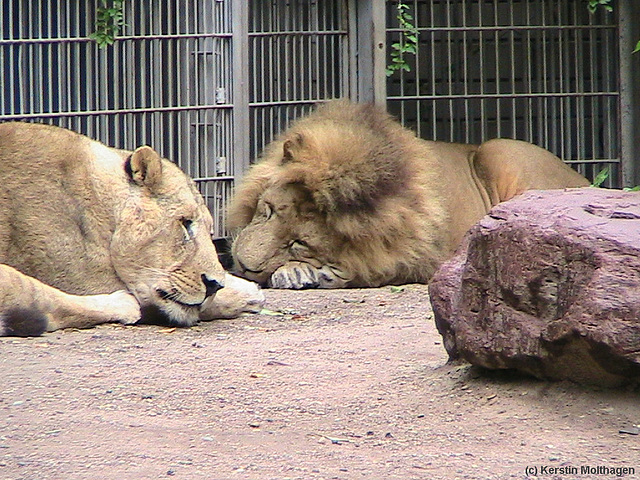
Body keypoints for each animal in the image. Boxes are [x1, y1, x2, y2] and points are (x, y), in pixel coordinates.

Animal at [0, 122, 262, 336]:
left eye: (210, 232)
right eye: (185, 223)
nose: (214, 284)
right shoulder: (87, 282)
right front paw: (247, 292)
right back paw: (125, 305)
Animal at [228, 100, 588, 288]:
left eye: (298, 243)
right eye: (267, 210)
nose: (244, 266)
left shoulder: (422, 258)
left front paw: (303, 271)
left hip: (502, 152)